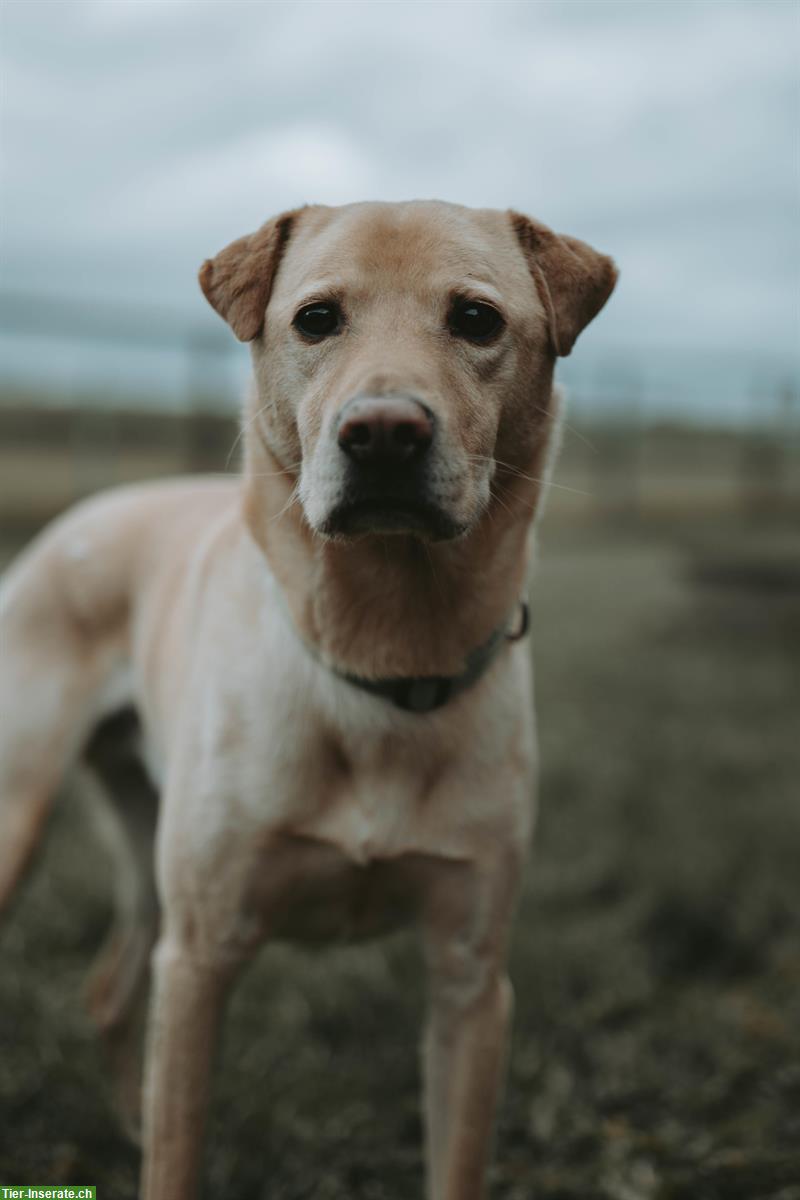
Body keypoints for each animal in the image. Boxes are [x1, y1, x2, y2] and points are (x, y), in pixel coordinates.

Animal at [0, 201, 618, 1195]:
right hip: (22, 820)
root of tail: (85, 513)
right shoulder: (202, 954)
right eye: (317, 319)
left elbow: (456, 1159)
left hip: (147, 846)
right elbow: (180, 1153)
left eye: (477, 320)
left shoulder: (472, 977)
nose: (384, 432)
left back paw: (126, 1121)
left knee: (108, 988)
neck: (382, 656)